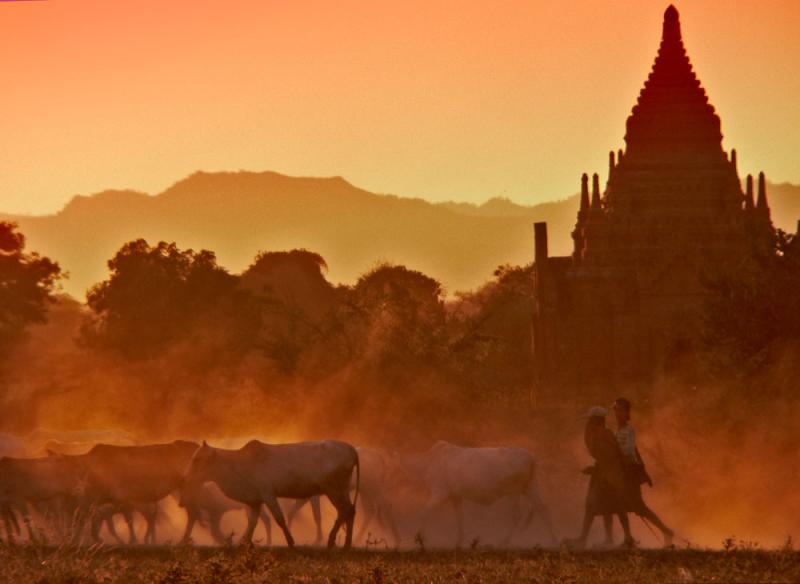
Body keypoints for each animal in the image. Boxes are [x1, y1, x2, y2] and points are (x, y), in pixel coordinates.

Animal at [184, 442, 360, 548]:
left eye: (198, 459)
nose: (186, 478)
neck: (240, 466)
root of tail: (350, 448)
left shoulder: (268, 495)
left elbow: (279, 519)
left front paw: (290, 542)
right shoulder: (255, 501)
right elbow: (252, 522)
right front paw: (244, 543)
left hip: (333, 490)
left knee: (345, 511)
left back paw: (334, 541)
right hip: (341, 490)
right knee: (349, 512)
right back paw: (345, 543)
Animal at [404, 442, 552, 548]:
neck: (426, 464)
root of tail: (530, 457)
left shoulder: (440, 492)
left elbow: (424, 512)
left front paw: (421, 540)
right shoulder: (456, 497)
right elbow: (459, 518)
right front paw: (458, 542)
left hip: (514, 491)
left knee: (517, 515)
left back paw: (502, 543)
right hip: (531, 487)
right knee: (543, 509)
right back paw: (554, 541)